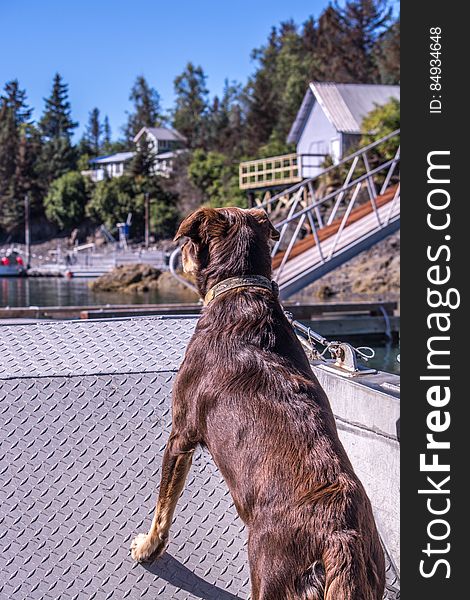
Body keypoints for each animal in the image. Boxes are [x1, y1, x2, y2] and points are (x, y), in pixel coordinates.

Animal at [129, 207, 386, 600]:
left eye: (187, 241)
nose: (177, 255)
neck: (242, 289)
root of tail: (339, 537)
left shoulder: (180, 435)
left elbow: (164, 506)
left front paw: (148, 547)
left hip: (272, 576)